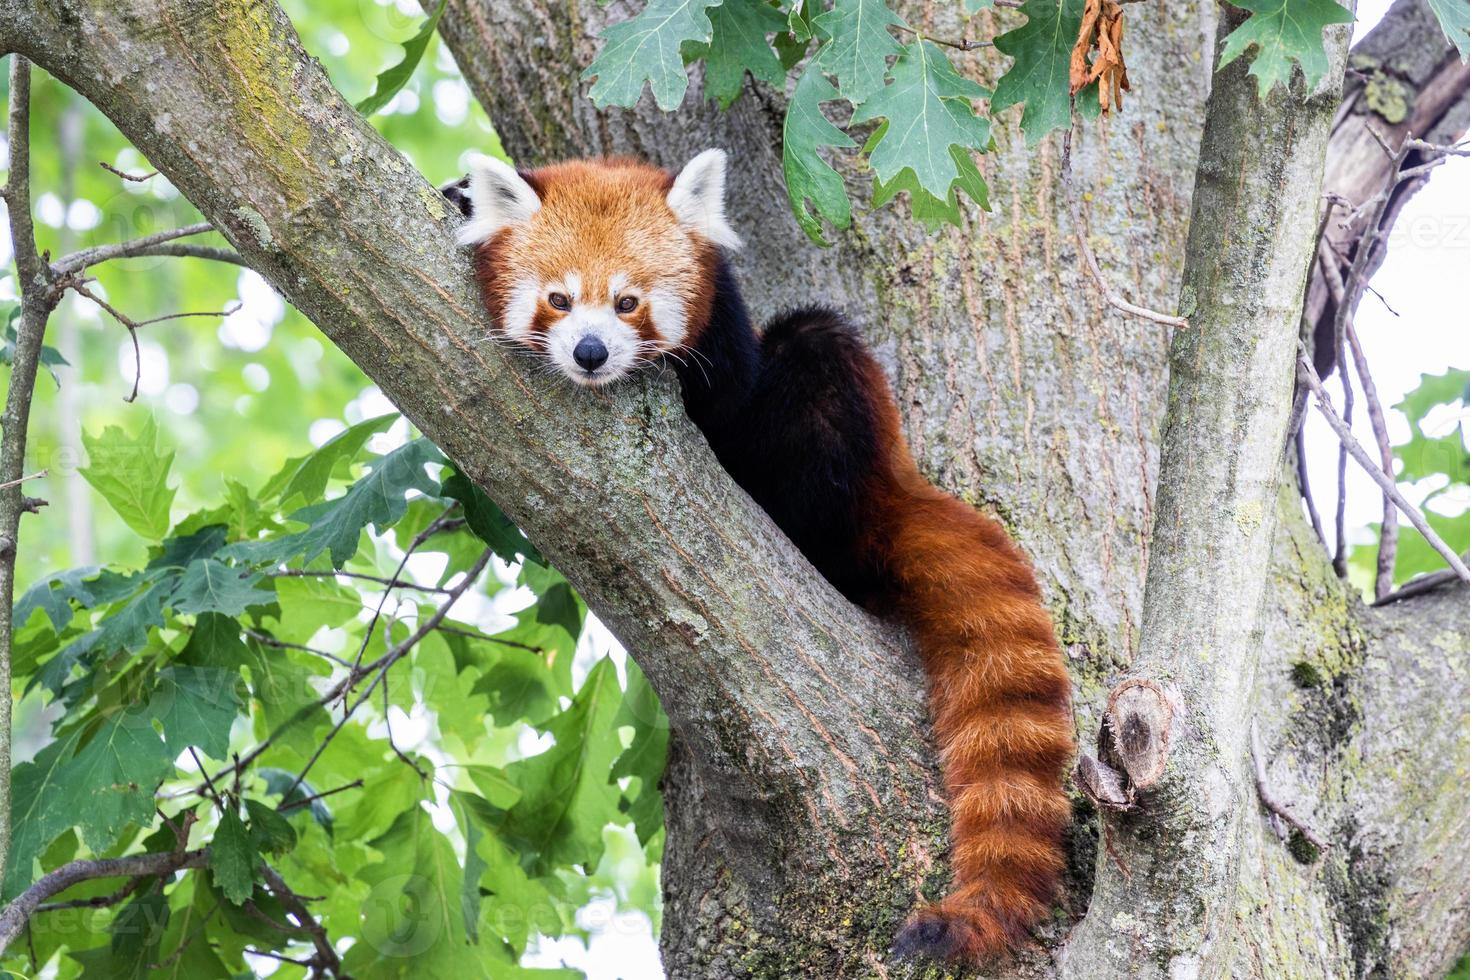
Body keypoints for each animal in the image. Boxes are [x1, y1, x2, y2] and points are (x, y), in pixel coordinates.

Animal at [452, 149, 1076, 963]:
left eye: (628, 303)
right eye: (558, 300)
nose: (591, 354)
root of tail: (891, 482)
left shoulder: (729, 348)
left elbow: (730, 392)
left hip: (838, 443)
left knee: (815, 346)